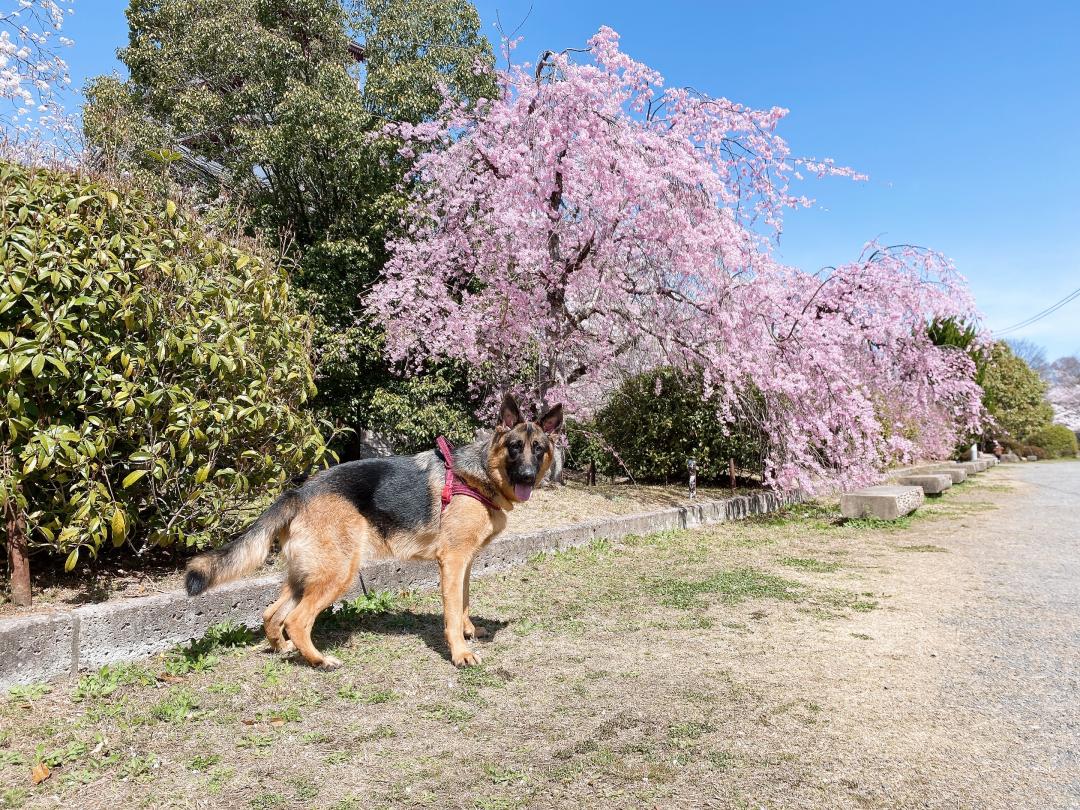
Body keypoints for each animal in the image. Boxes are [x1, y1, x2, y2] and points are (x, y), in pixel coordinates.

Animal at [183, 397, 565, 669]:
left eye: (539, 449)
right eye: (514, 447)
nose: (527, 476)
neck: (479, 474)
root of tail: (300, 492)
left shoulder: (465, 562)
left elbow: (464, 601)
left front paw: (470, 630)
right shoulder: (453, 561)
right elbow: (452, 611)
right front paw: (460, 652)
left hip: (307, 574)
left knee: (271, 614)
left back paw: (285, 650)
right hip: (338, 573)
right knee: (296, 619)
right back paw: (320, 660)